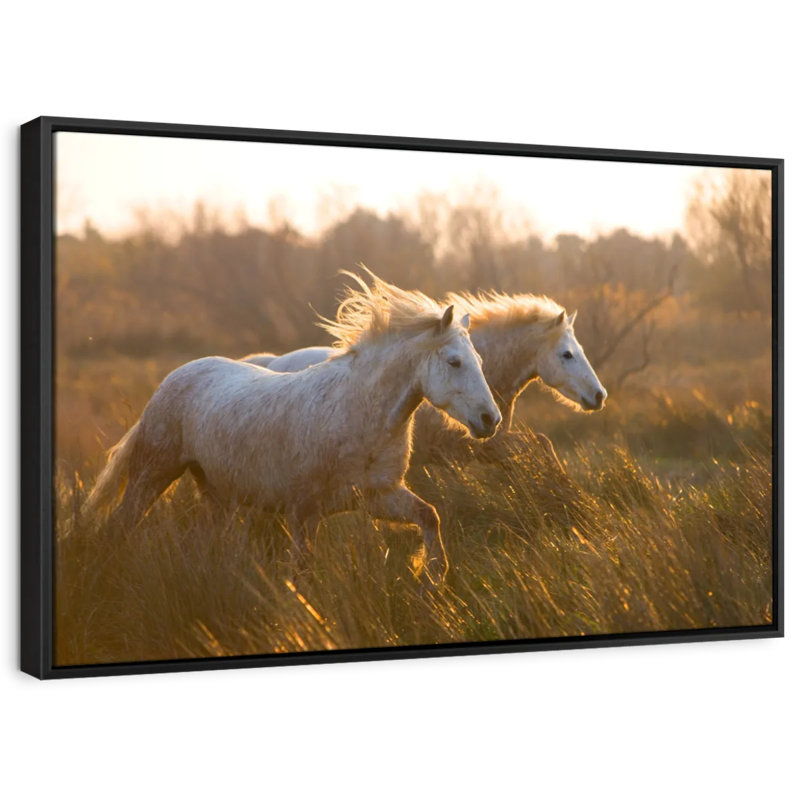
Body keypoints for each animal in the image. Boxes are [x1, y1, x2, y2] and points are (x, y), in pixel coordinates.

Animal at [84, 271, 501, 583]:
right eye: (453, 362)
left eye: (479, 360)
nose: (490, 420)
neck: (356, 414)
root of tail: (174, 377)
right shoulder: (304, 512)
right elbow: (302, 573)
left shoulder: (379, 496)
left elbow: (429, 516)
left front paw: (433, 576)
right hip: (153, 473)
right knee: (120, 525)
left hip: (215, 494)